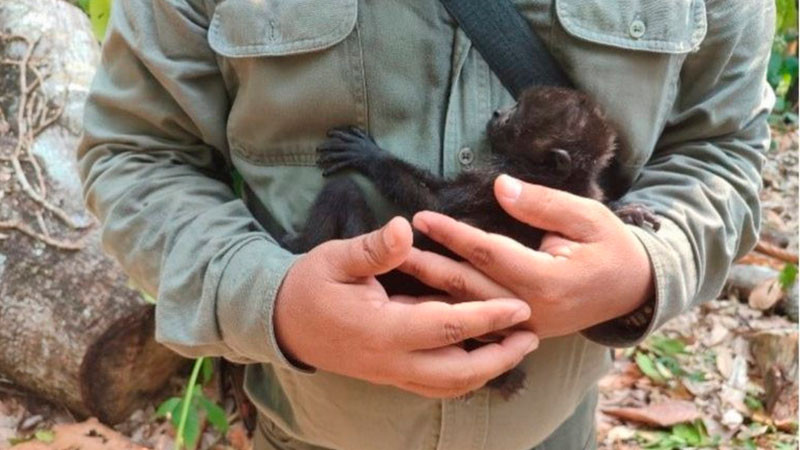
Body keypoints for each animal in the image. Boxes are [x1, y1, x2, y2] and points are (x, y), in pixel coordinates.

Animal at [280, 86, 660, 398]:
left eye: (516, 114)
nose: (497, 113)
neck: (561, 180)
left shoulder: (497, 179)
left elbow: (435, 207)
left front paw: (371, 155)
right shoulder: (584, 192)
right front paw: (627, 213)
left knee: (340, 191)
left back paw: (298, 244)